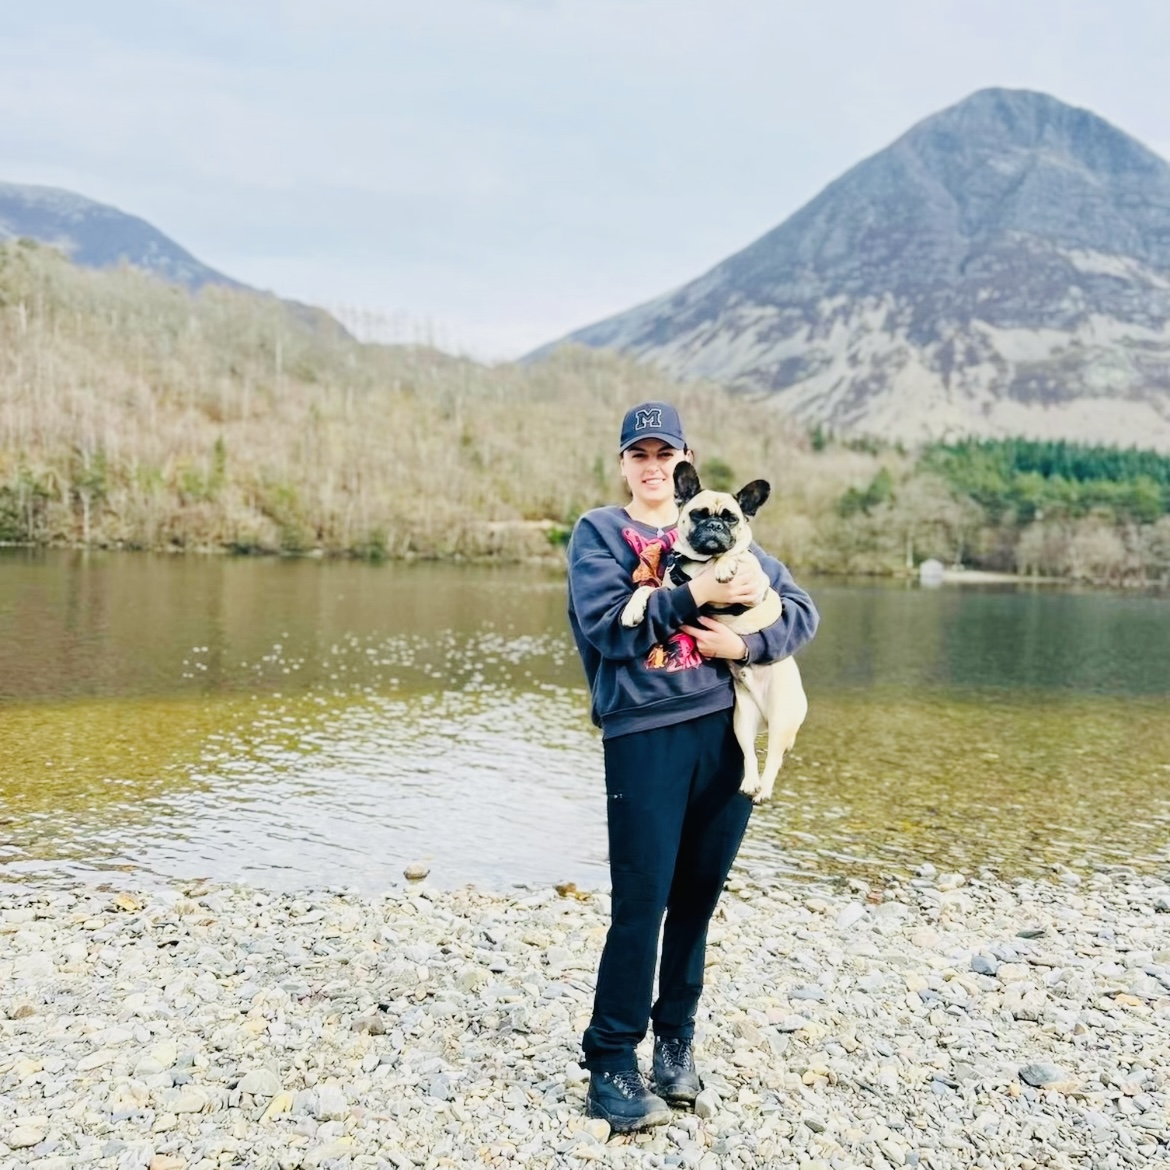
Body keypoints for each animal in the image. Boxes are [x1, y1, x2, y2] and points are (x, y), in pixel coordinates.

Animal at [620, 462, 808, 803]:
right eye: (699, 514)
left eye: (731, 518)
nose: (715, 527)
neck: (699, 565)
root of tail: (764, 716)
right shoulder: (667, 589)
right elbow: (645, 589)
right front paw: (632, 609)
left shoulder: (754, 585)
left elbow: (735, 553)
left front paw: (724, 564)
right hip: (741, 722)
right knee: (750, 755)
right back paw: (750, 783)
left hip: (782, 718)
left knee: (774, 759)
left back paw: (764, 790)